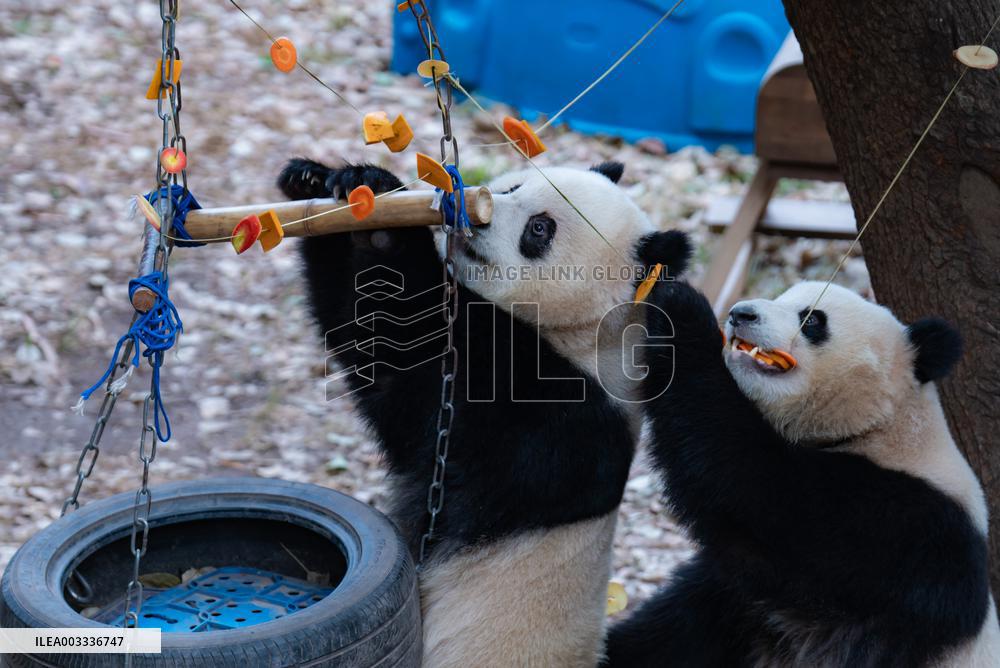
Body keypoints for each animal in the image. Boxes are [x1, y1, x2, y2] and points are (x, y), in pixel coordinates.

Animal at [277, 158, 691, 667]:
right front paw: (326, 182)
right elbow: (376, 352)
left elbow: (404, 342)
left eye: (540, 228)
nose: (474, 218)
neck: (586, 332)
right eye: (513, 186)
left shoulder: (555, 418)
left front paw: (377, 225)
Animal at [604, 280, 1000, 667]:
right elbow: (679, 628)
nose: (739, 313)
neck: (884, 426)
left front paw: (680, 307)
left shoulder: (903, 527)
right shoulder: (735, 599)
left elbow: (752, 484)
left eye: (811, 320)